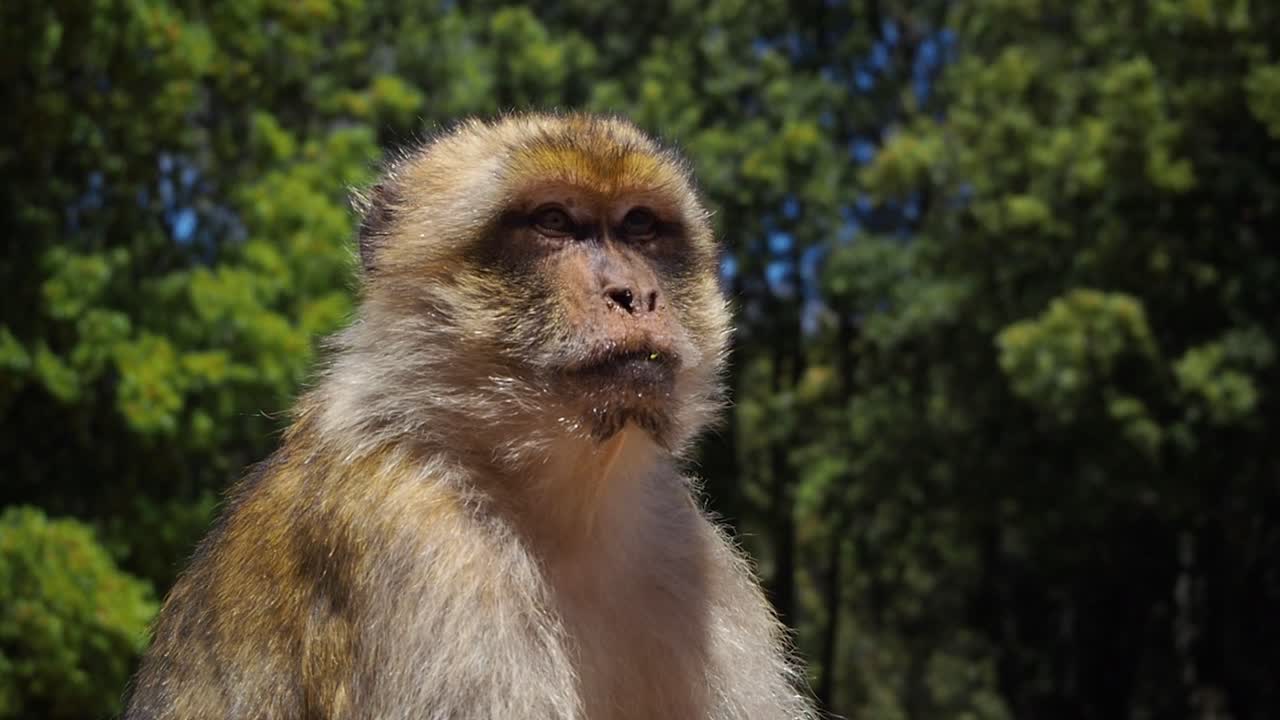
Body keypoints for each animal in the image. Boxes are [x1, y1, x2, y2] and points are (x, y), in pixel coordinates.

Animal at [123, 112, 815, 720]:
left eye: (640, 225)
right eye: (554, 221)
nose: (637, 294)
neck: (565, 505)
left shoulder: (689, 553)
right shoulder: (421, 548)